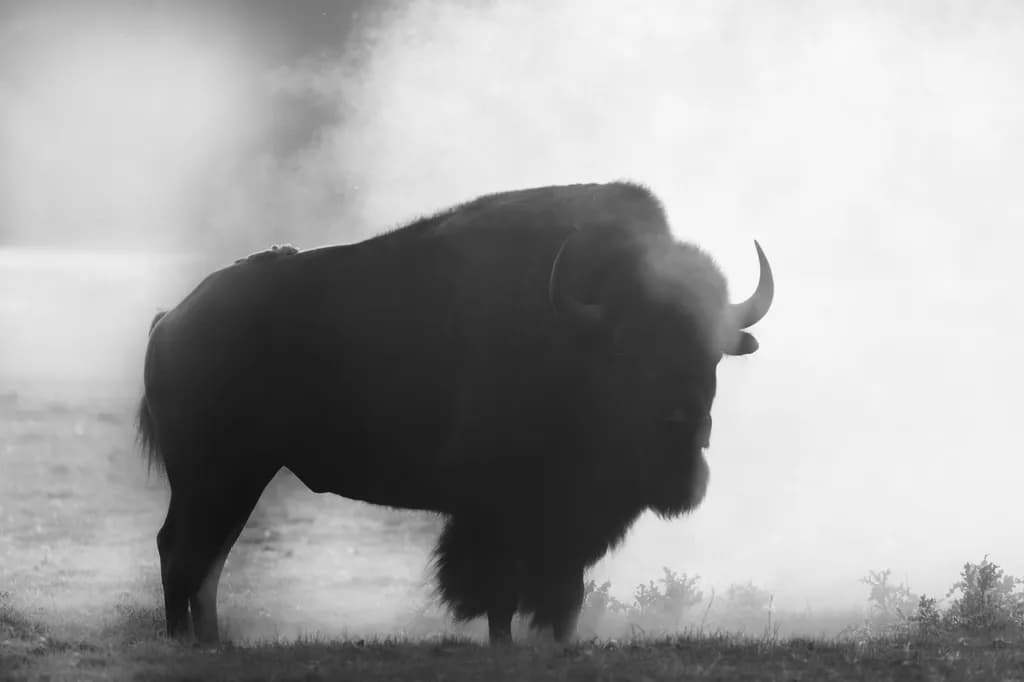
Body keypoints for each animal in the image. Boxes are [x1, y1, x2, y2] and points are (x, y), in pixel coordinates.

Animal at [137, 181, 774, 645]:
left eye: (713, 350)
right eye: (628, 345)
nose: (684, 425)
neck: (571, 331)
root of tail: (173, 319)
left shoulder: (564, 525)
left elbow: (562, 593)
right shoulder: (495, 511)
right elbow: (498, 591)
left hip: (239, 475)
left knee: (205, 557)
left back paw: (210, 641)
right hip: (215, 474)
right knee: (183, 550)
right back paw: (186, 641)